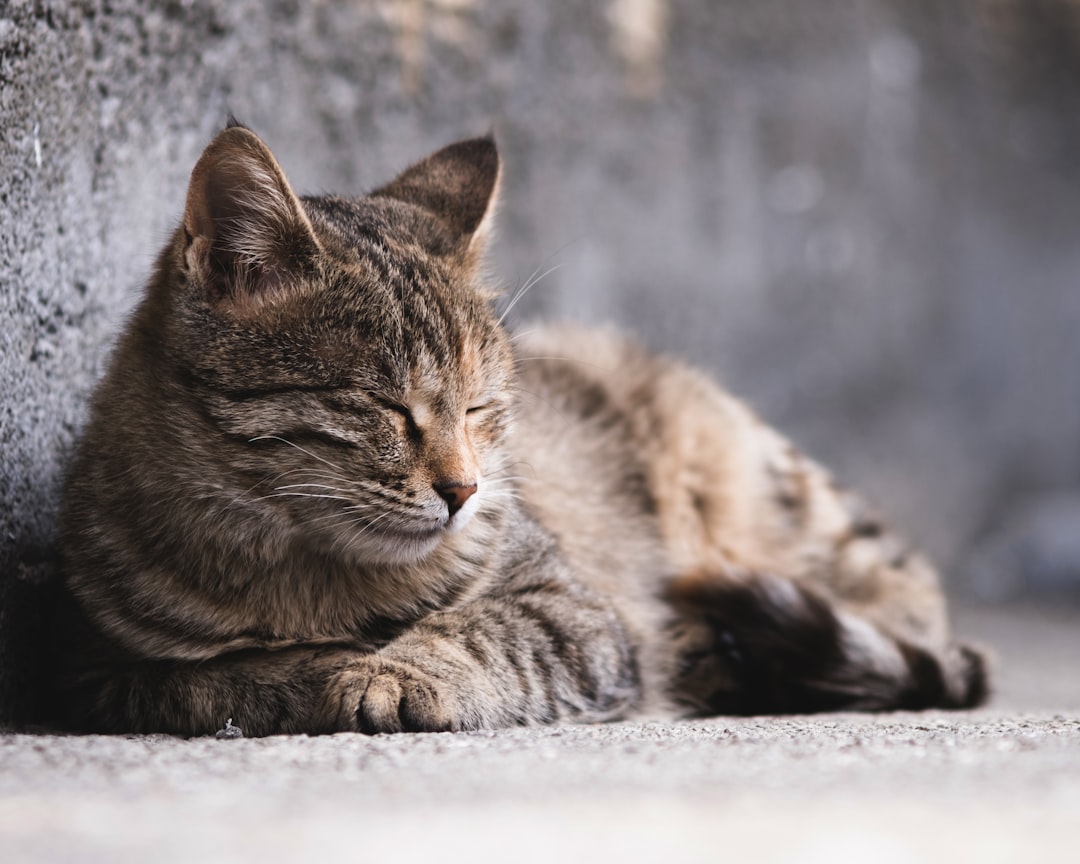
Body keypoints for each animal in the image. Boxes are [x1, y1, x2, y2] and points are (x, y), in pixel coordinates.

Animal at [56, 118, 989, 734]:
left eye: (480, 406)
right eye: (386, 405)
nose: (464, 490)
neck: (309, 575)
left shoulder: (574, 611)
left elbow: (488, 633)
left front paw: (395, 671)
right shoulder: (105, 667)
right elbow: (210, 680)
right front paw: (307, 673)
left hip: (786, 501)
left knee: (908, 609)